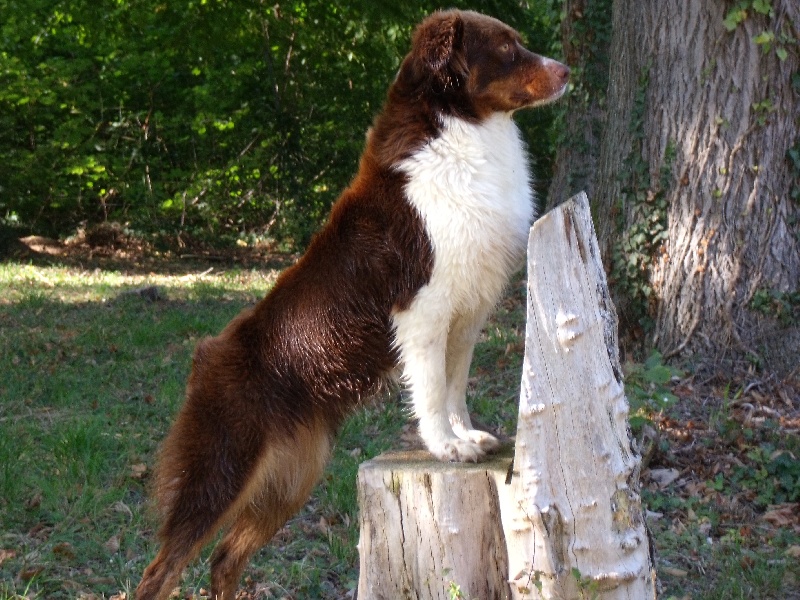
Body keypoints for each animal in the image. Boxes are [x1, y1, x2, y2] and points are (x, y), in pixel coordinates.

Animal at [136, 10, 568, 599]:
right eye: (505, 48)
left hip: (291, 477)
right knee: (161, 571)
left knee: (224, 559)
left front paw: (467, 436)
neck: (459, 131)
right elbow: (431, 391)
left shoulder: (466, 314)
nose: (566, 71)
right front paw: (445, 447)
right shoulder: (423, 311)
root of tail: (205, 358)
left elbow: (454, 386)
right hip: (221, 470)